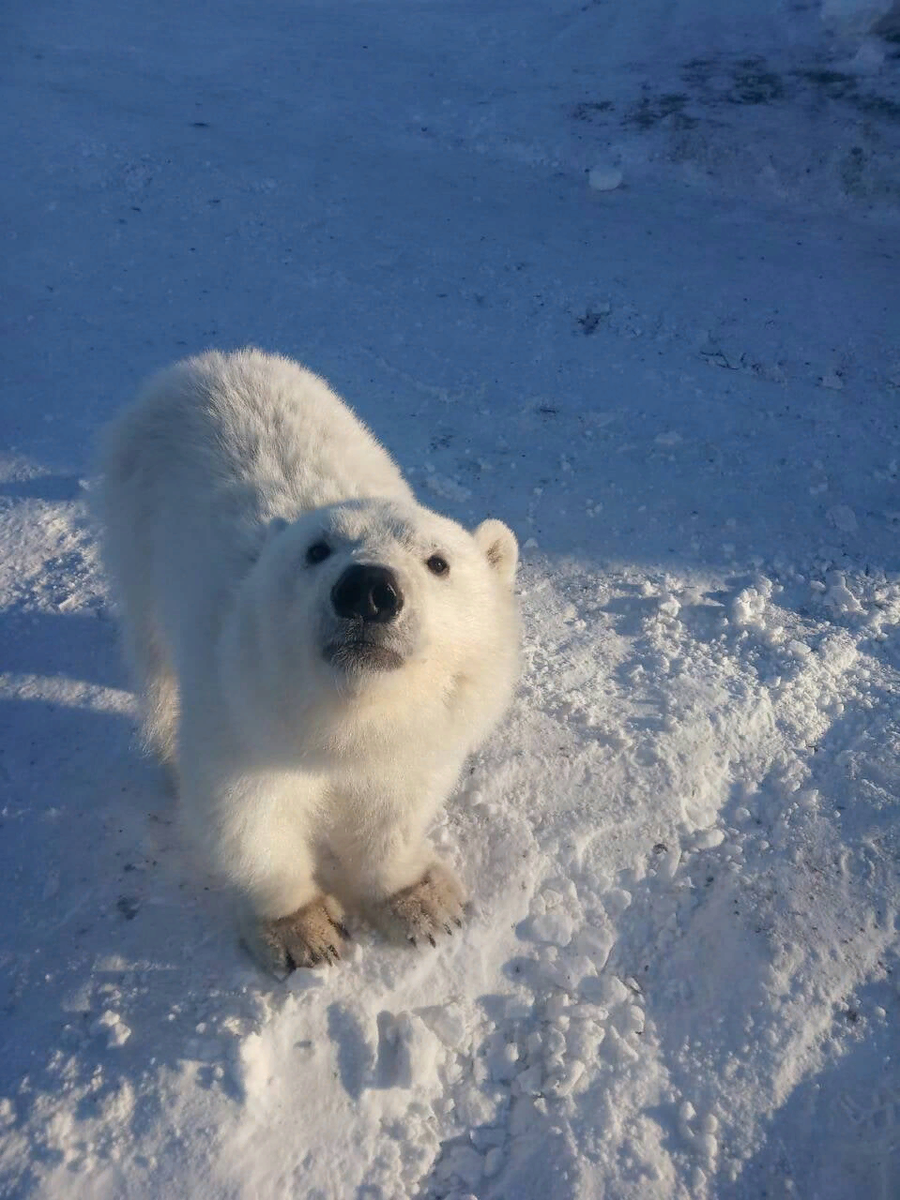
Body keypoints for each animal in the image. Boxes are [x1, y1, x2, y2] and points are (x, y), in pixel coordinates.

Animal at [97, 350, 520, 974]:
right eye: (316, 550)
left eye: (438, 562)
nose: (368, 591)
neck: (342, 718)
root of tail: (208, 361)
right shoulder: (242, 715)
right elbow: (247, 819)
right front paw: (303, 931)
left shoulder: (415, 736)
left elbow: (395, 809)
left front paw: (423, 902)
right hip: (137, 528)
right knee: (153, 658)